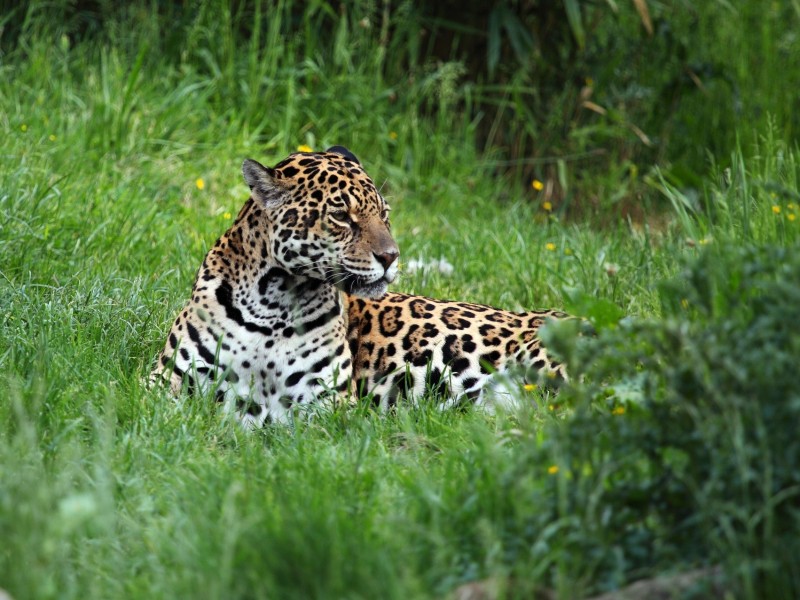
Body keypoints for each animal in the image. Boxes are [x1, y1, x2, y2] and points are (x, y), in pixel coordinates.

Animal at [150, 146, 569, 427]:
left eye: (384, 214)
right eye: (341, 216)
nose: (391, 256)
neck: (274, 302)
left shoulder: (325, 404)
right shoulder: (167, 382)